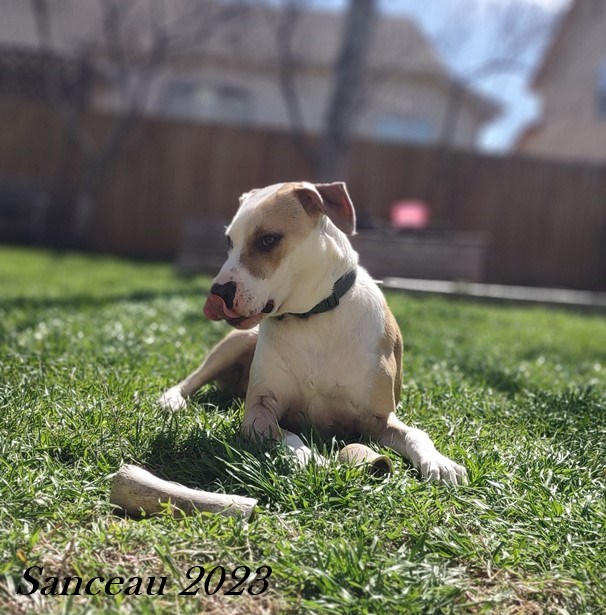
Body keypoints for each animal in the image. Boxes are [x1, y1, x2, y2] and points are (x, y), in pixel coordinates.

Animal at [161, 181, 467, 484]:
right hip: (239, 341)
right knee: (193, 378)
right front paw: (311, 459)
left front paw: (441, 463)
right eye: (229, 241)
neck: (313, 317)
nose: (217, 292)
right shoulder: (259, 412)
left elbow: (417, 433)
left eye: (268, 240)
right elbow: (289, 437)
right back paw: (172, 400)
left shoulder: (379, 419)